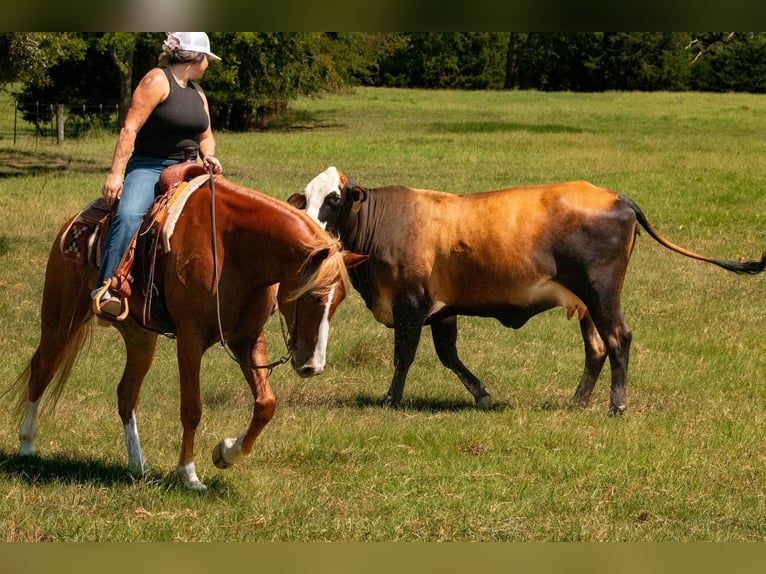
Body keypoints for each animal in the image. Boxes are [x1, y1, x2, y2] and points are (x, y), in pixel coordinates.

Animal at [7, 163, 366, 490]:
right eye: (313, 297)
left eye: (339, 300)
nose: (313, 366)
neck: (233, 247)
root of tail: (75, 221)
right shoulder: (190, 340)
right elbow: (192, 407)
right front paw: (189, 475)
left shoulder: (247, 339)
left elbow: (266, 404)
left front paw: (225, 453)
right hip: (60, 318)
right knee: (42, 368)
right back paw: (27, 445)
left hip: (141, 338)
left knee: (127, 393)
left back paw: (139, 465)